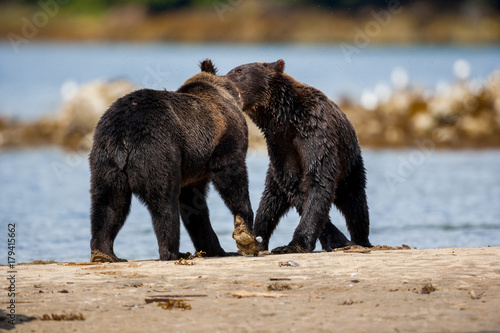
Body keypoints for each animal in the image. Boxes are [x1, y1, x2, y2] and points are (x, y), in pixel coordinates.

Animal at [88, 59, 258, 262]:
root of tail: (122, 138)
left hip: (105, 159)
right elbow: (231, 175)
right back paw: (173, 252)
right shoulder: (224, 136)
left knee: (109, 204)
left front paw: (215, 248)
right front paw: (246, 233)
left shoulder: (193, 168)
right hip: (158, 151)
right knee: (164, 201)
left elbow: (194, 206)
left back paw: (105, 253)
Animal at [227, 59, 372, 252]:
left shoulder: (315, 134)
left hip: (350, 165)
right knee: (269, 202)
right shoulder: (279, 145)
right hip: (273, 174)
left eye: (239, 70)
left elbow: (318, 181)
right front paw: (333, 239)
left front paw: (297, 243)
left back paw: (362, 239)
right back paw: (255, 239)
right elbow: (294, 183)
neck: (285, 120)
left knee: (355, 203)